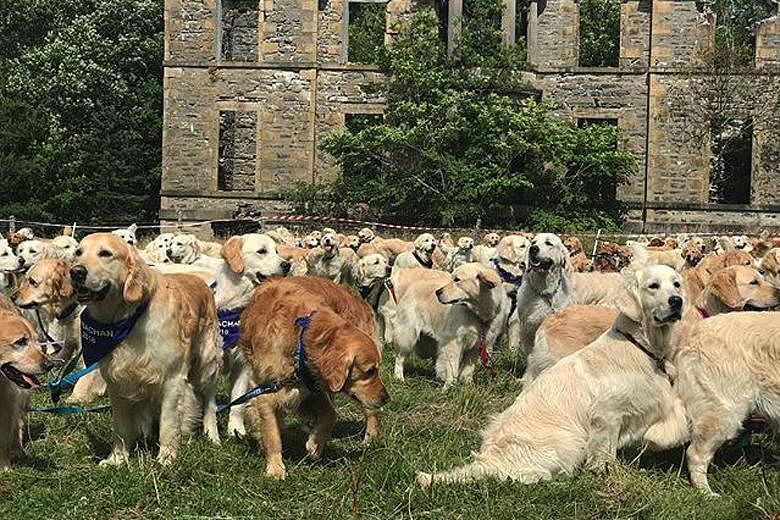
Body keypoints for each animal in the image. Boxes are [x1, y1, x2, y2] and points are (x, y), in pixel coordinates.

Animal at [70, 232, 222, 464]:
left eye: (105, 253)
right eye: (78, 252)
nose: (76, 272)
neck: (126, 319)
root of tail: (199, 280)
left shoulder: (172, 379)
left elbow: (168, 423)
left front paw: (166, 458)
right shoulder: (116, 381)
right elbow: (121, 427)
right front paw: (117, 459)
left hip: (206, 363)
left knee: (209, 402)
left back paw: (212, 435)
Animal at [236, 276, 386, 480]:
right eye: (369, 371)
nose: (386, 398)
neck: (302, 337)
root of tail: (358, 299)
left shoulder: (312, 389)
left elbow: (331, 415)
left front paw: (315, 445)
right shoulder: (267, 391)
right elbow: (272, 434)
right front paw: (275, 467)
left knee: (371, 412)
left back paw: (369, 439)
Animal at [414, 266, 688, 486]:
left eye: (676, 283)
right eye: (653, 286)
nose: (677, 301)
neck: (640, 345)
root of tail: (488, 460)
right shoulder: (607, 416)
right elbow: (604, 452)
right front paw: (603, 472)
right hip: (569, 440)